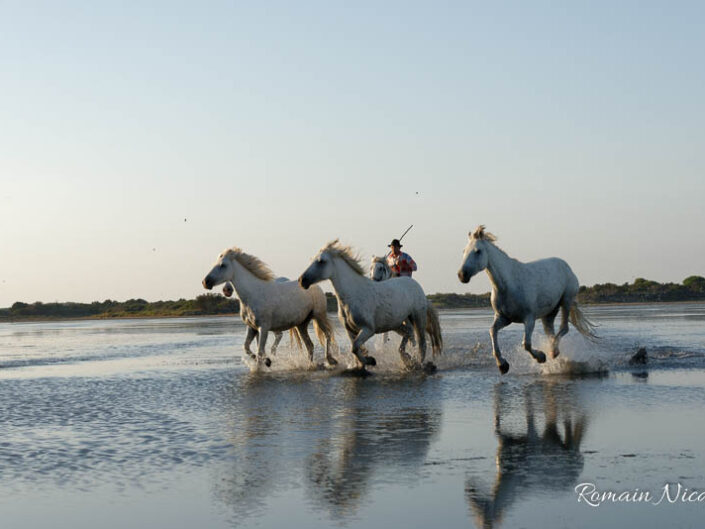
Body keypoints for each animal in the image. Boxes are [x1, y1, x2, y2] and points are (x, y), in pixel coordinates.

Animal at [202, 248, 336, 368]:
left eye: (222, 265)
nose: (205, 282)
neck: (252, 293)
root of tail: (316, 286)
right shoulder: (252, 327)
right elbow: (246, 347)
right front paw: (267, 361)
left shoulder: (263, 327)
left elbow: (260, 351)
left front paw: (263, 364)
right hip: (301, 324)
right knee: (310, 346)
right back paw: (310, 365)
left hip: (319, 316)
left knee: (327, 334)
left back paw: (331, 360)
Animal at [296, 240, 440, 370]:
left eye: (321, 261)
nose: (302, 280)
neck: (353, 295)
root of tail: (418, 287)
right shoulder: (350, 330)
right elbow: (355, 349)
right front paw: (362, 364)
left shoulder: (368, 329)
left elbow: (354, 347)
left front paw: (371, 360)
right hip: (397, 324)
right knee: (409, 335)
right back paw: (407, 359)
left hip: (418, 318)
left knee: (421, 344)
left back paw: (417, 364)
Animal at [456, 225, 592, 374]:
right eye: (464, 251)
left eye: (478, 251)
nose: (462, 275)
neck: (508, 285)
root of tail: (566, 266)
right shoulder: (503, 318)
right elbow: (492, 331)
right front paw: (502, 365)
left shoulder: (529, 318)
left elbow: (526, 344)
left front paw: (541, 357)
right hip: (549, 314)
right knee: (551, 333)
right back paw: (554, 354)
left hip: (566, 301)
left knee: (564, 328)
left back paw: (552, 352)